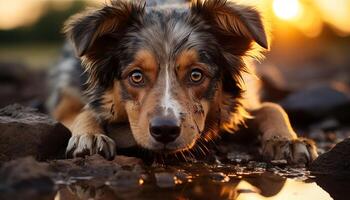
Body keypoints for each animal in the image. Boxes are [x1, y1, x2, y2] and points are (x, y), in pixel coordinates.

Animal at [47, 0, 318, 165]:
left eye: (196, 75)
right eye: (136, 76)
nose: (165, 130)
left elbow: (272, 107)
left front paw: (288, 140)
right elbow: (84, 111)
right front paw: (90, 136)